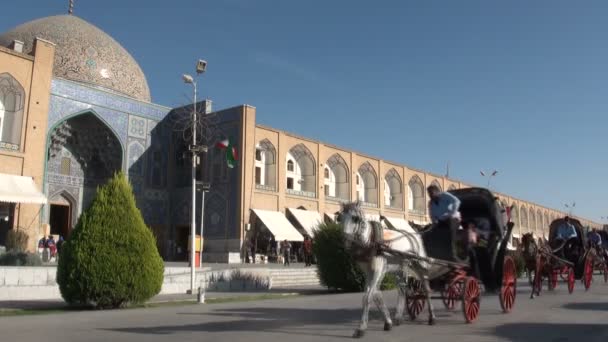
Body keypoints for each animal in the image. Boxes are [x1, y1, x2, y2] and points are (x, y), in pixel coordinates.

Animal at [340, 202, 454, 338]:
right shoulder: (368, 271)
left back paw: (432, 317)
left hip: (419, 265)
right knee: (402, 289)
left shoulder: (379, 269)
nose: (346, 240)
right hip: (399, 268)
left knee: (426, 289)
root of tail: (414, 234)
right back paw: (398, 317)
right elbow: (376, 294)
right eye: (340, 218)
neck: (371, 241)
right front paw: (388, 322)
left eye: (355, 218)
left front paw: (361, 328)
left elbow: (368, 297)